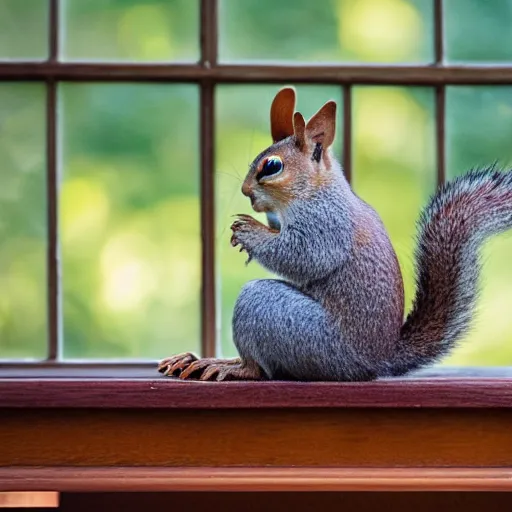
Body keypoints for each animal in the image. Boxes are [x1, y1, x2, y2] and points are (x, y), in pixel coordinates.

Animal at [158, 87, 512, 380]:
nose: (246, 191)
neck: (317, 190)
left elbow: (304, 256)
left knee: (259, 367)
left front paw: (248, 231)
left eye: (271, 166)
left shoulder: (325, 223)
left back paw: (232, 366)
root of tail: (375, 362)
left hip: (282, 319)